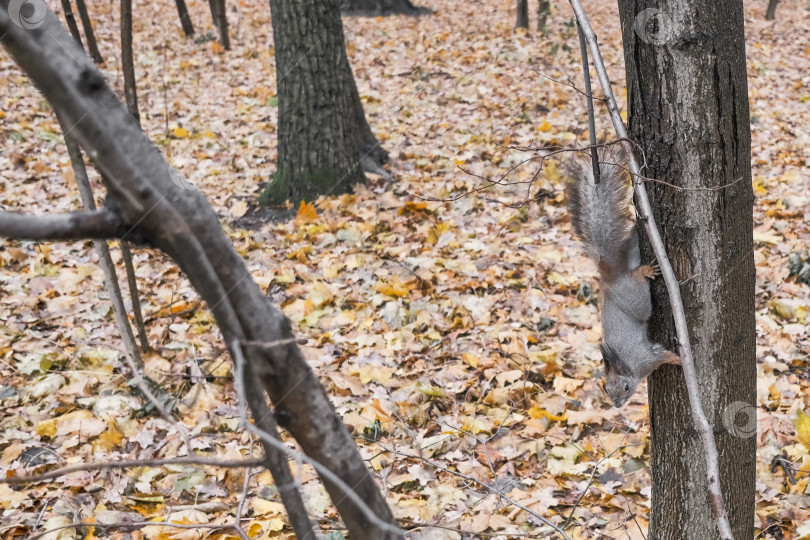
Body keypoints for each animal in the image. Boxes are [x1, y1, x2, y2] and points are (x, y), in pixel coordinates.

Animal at [564, 146, 680, 408]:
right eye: (607, 390)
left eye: (625, 387)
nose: (617, 405)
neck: (630, 367)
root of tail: (611, 281)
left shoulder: (645, 359)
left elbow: (661, 356)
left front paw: (675, 358)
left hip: (636, 298)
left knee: (636, 281)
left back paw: (644, 271)